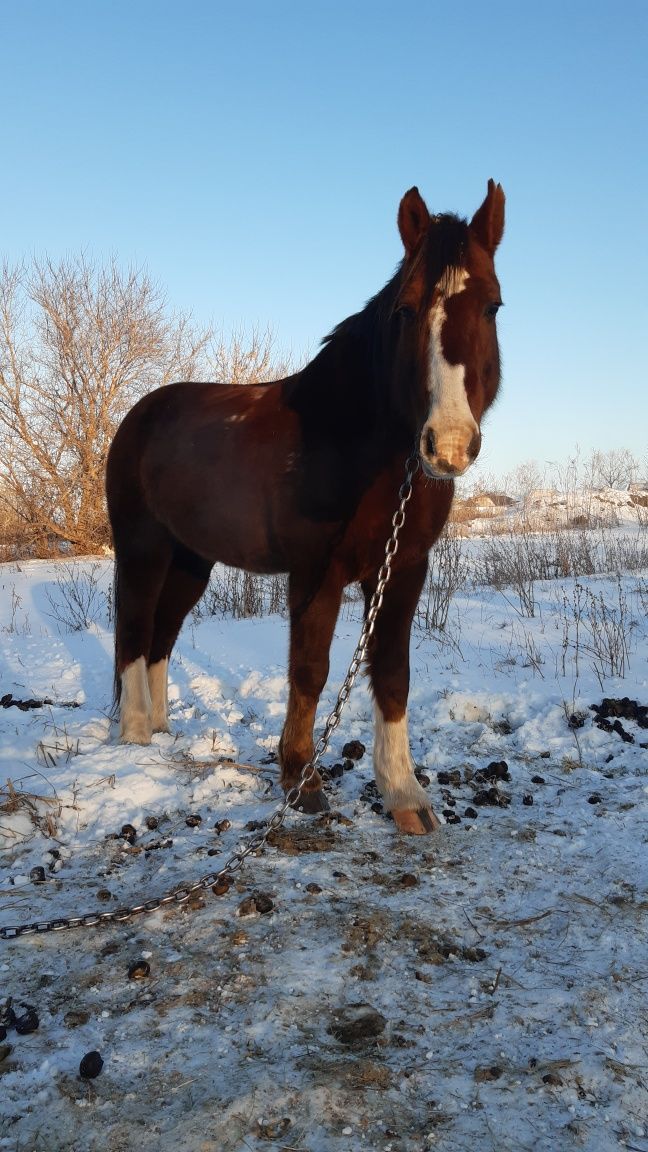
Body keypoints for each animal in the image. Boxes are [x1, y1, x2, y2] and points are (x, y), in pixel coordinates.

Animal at [106, 179, 505, 834]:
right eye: (405, 310)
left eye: (493, 306)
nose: (446, 444)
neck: (359, 445)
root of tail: (140, 416)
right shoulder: (317, 571)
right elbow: (310, 669)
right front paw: (302, 780)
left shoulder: (403, 568)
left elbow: (392, 672)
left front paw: (404, 796)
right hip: (143, 548)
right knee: (135, 628)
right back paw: (137, 735)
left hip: (192, 561)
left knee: (163, 631)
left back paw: (161, 733)